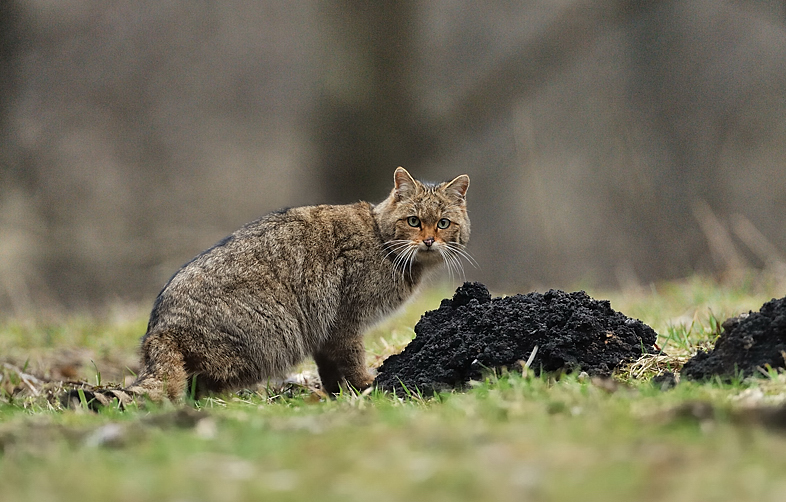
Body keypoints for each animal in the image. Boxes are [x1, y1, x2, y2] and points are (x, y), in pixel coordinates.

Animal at [66, 167, 466, 406]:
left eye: (444, 223)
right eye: (414, 221)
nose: (429, 240)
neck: (383, 240)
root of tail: (159, 331)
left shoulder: (325, 330)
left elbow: (331, 369)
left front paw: (338, 394)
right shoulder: (344, 321)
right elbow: (351, 360)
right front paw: (366, 385)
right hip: (267, 337)